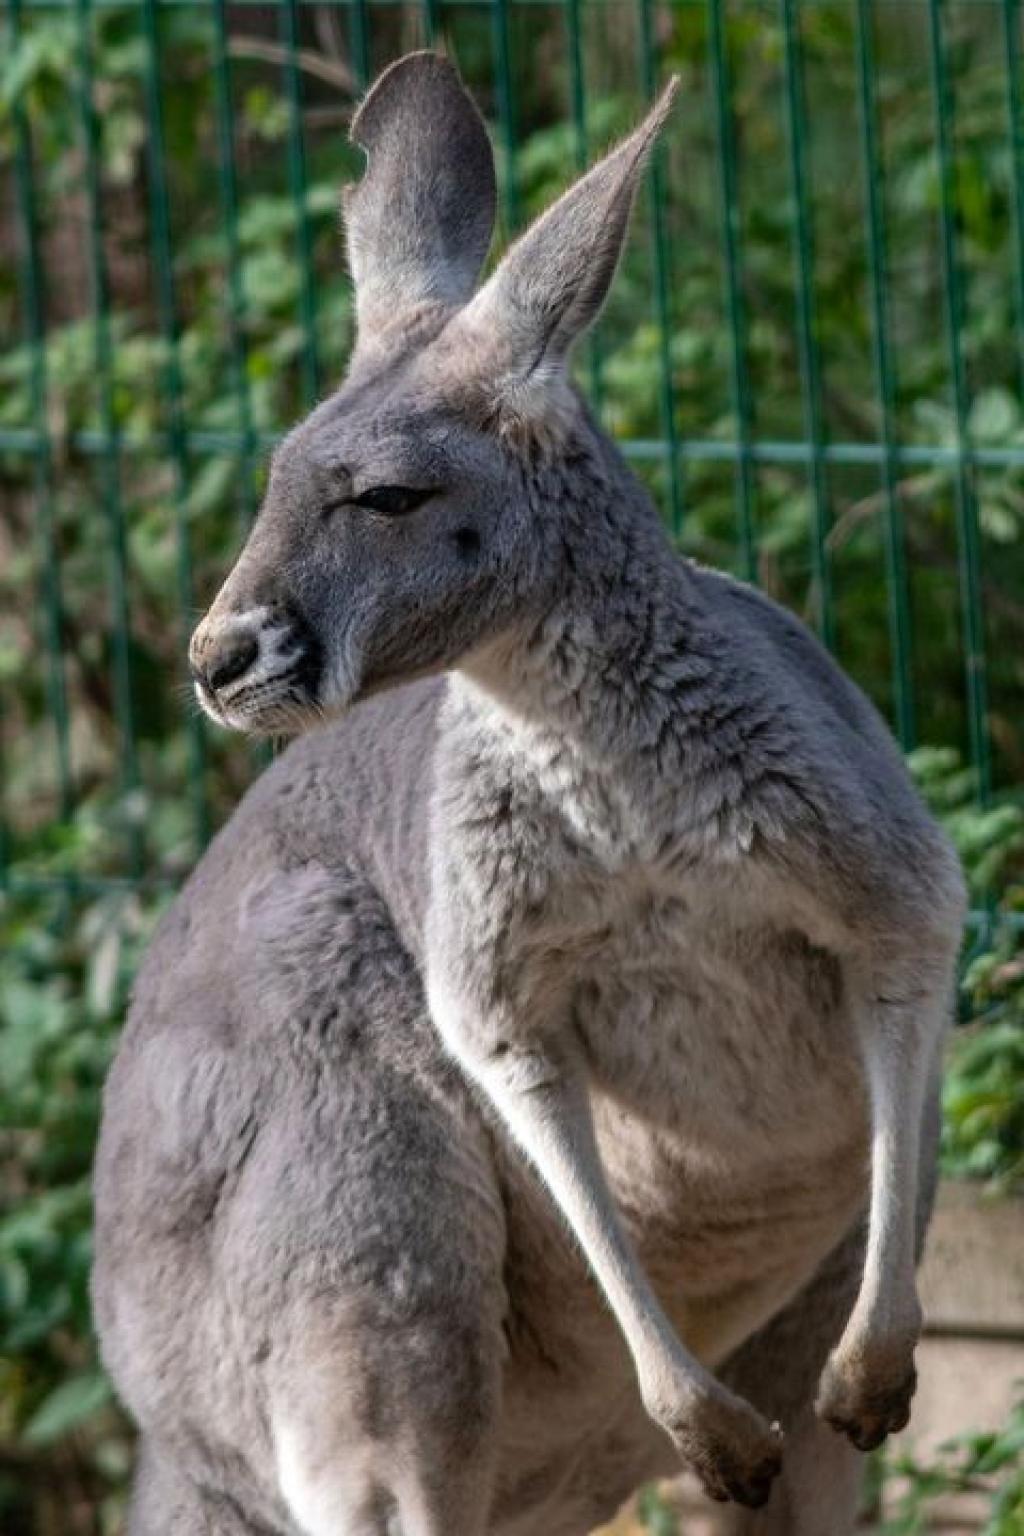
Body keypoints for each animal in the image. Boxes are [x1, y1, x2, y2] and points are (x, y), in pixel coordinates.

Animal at [92, 51, 966, 1536]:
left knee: (799, 1448)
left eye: (387, 497)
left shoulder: (881, 870)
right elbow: (533, 1096)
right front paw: (697, 1416)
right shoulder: (487, 967)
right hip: (355, 1205)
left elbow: (906, 1010)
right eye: (274, 475)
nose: (215, 658)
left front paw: (874, 1373)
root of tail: (170, 1440)